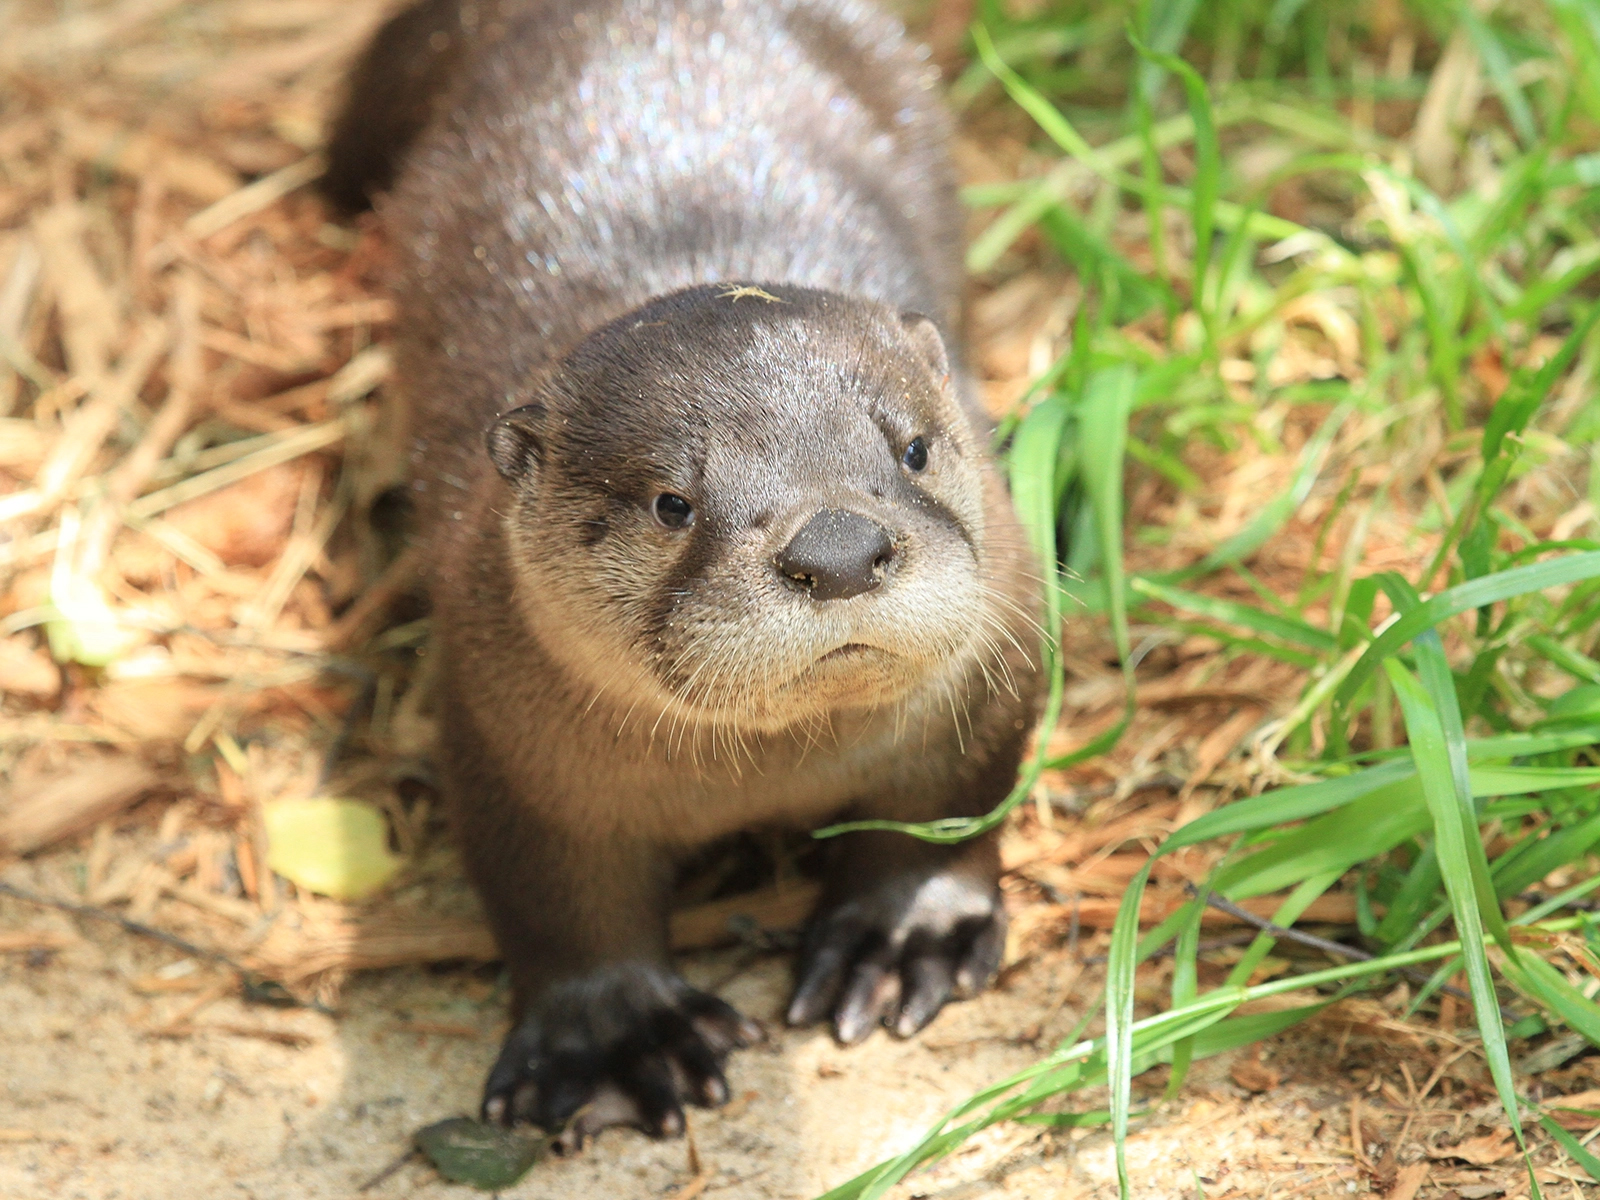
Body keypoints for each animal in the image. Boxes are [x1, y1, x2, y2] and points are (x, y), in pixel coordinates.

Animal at [325, 0, 1043, 1143]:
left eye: (914, 449)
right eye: (673, 503)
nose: (838, 549)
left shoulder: (993, 671)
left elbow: (948, 807)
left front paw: (902, 935)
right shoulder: (506, 741)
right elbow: (556, 899)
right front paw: (617, 1036)